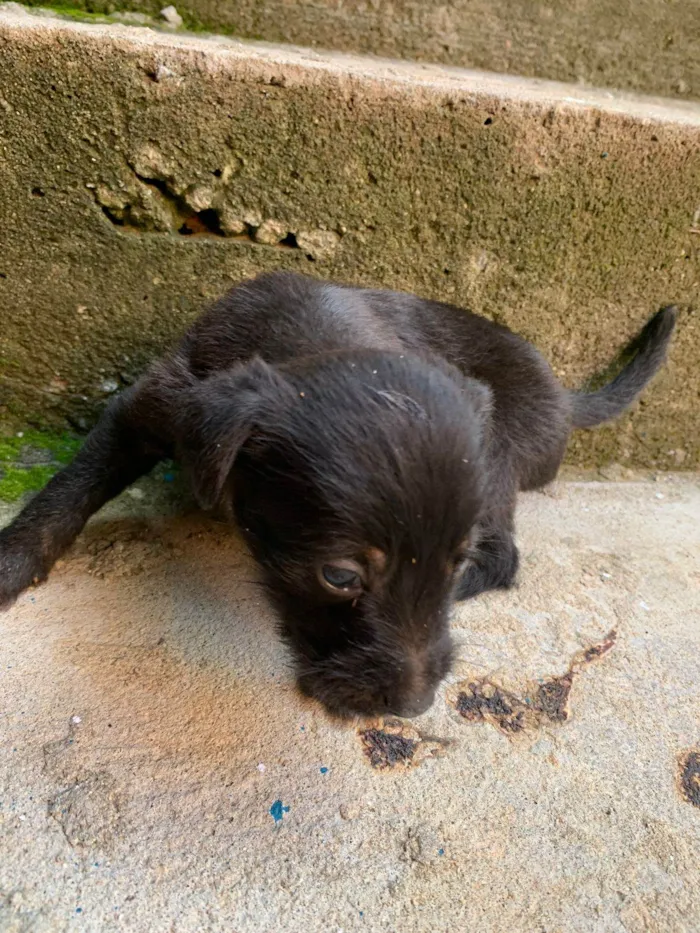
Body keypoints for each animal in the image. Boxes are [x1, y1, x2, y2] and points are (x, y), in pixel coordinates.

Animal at [0, 274, 680, 716]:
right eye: (340, 576)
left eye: (454, 563)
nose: (413, 708)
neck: (312, 337)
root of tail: (565, 397)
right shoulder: (147, 407)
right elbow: (68, 489)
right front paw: (12, 558)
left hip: (501, 459)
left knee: (507, 555)